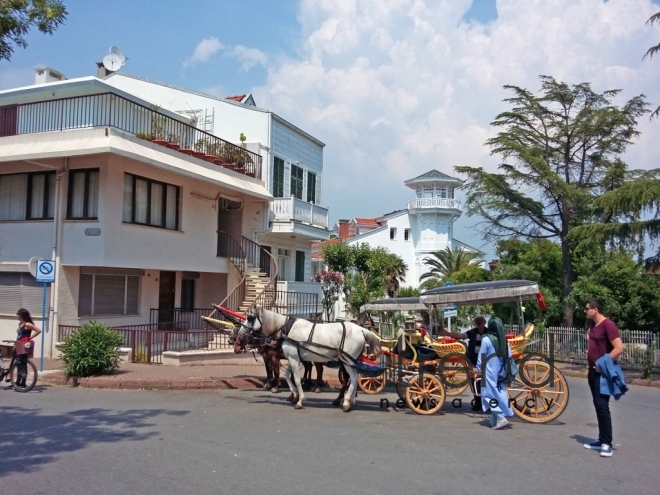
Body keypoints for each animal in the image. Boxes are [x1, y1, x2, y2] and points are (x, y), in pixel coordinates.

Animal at [238, 308, 382, 412]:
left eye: (250, 318)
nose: (239, 333)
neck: (287, 329)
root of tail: (361, 329)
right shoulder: (293, 358)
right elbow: (287, 375)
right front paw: (294, 395)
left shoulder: (293, 358)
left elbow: (296, 379)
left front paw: (300, 400)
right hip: (349, 361)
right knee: (354, 378)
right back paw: (350, 401)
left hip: (348, 361)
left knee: (353, 377)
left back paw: (346, 402)